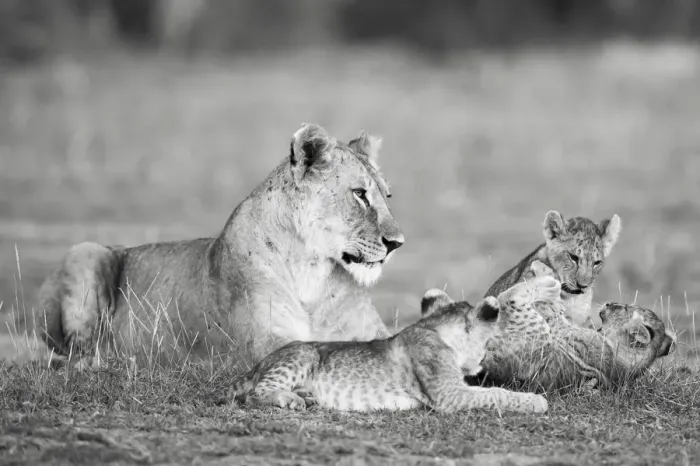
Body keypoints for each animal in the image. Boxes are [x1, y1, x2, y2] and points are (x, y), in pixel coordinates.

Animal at [23, 123, 405, 369]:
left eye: (387, 196)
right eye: (359, 194)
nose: (397, 243)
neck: (313, 271)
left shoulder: (373, 331)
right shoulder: (269, 343)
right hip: (86, 251)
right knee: (76, 354)